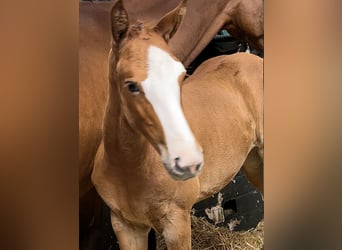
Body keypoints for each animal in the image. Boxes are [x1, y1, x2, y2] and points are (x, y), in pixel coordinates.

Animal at [91, 0, 262, 249]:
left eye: (181, 75)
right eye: (131, 85)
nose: (188, 161)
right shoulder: (125, 226)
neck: (129, 169)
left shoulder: (177, 224)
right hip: (253, 161)